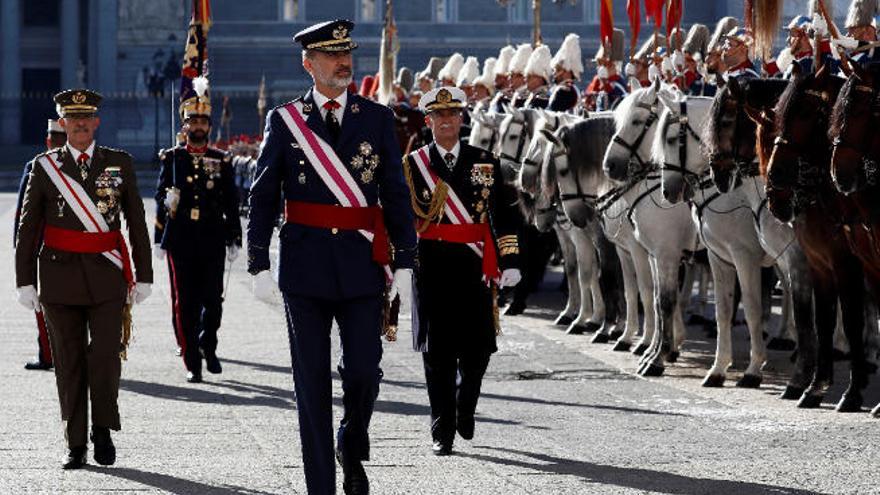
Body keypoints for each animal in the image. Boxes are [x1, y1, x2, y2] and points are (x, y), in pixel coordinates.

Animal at [768, 66, 868, 412]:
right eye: (778, 113)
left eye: (806, 112)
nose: (774, 181)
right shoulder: (819, 265)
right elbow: (821, 320)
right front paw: (815, 386)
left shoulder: (847, 265)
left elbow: (850, 321)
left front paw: (852, 392)